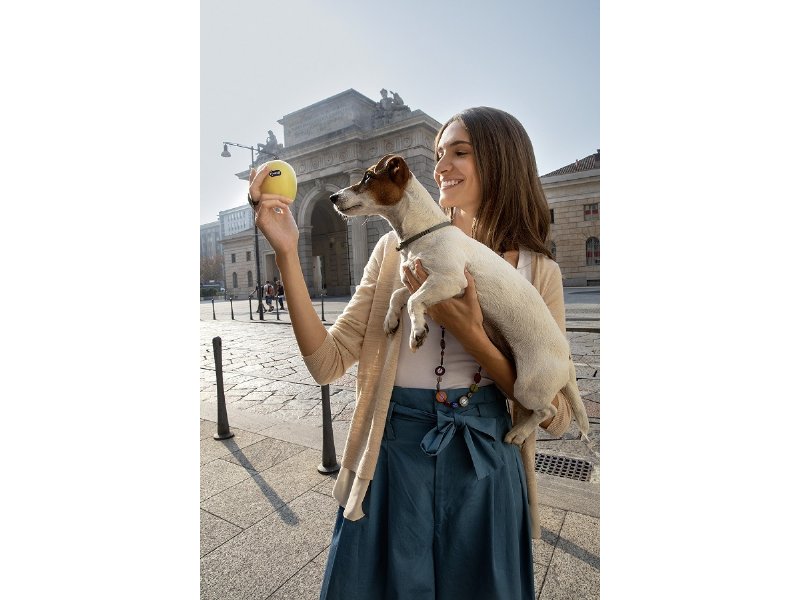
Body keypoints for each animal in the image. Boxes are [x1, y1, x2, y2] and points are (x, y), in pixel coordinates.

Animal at [328, 155, 592, 446]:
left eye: (368, 177)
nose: (332, 196)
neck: (425, 232)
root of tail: (567, 359)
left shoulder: (449, 280)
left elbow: (414, 302)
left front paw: (417, 331)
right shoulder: (422, 280)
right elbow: (399, 295)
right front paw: (390, 320)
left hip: (528, 385)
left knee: (549, 410)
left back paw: (519, 432)